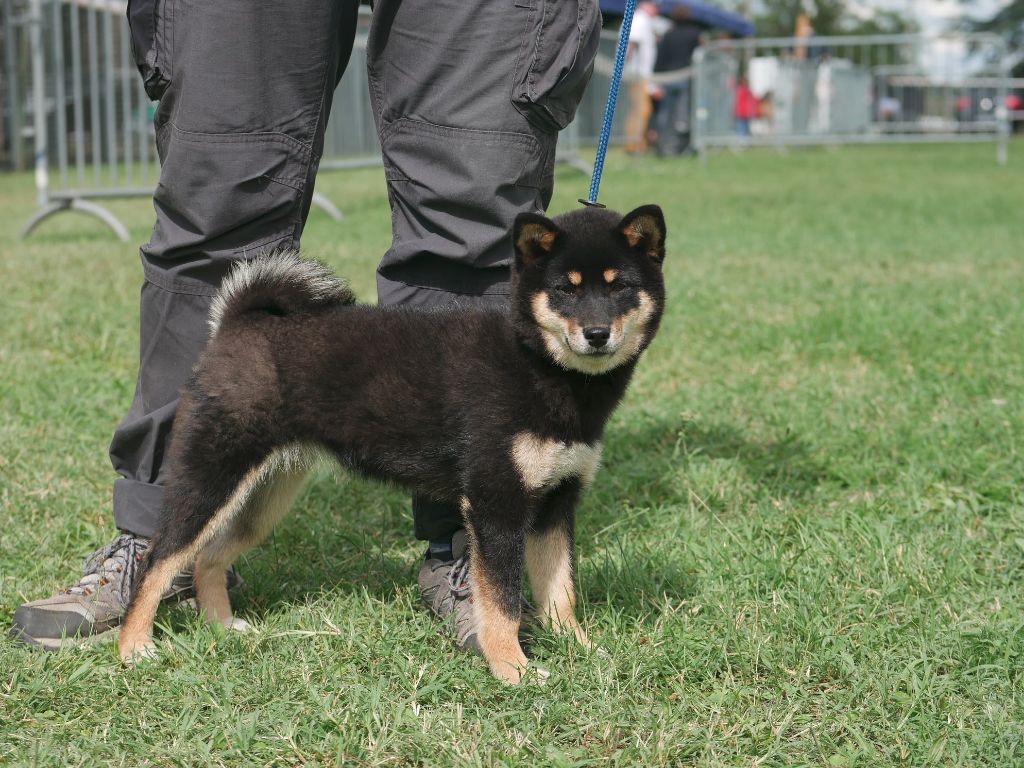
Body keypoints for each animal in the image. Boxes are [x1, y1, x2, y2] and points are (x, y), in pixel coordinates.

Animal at [119, 204, 667, 684]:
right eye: (563, 290)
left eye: (620, 287)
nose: (596, 333)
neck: (539, 366)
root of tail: (239, 322)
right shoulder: (498, 504)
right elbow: (504, 603)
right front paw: (514, 671)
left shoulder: (556, 502)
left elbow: (560, 593)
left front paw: (582, 650)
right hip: (211, 476)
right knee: (158, 560)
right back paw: (133, 647)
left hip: (263, 498)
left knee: (208, 556)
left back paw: (221, 628)